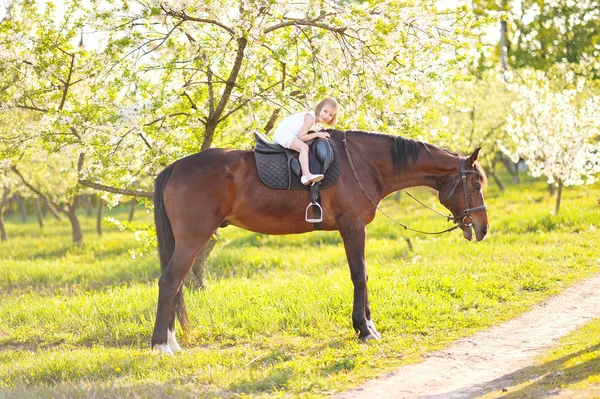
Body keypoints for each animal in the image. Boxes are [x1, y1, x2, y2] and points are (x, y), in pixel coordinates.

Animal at [151, 130, 488, 354]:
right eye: (475, 183)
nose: (483, 228)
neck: (364, 163)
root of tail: (175, 167)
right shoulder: (352, 228)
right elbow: (360, 275)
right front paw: (364, 329)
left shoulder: (354, 229)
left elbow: (363, 275)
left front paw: (368, 325)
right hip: (192, 239)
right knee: (169, 282)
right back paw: (160, 345)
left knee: (176, 285)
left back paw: (171, 341)